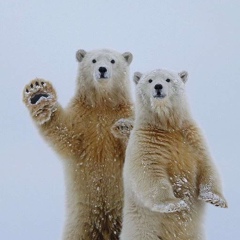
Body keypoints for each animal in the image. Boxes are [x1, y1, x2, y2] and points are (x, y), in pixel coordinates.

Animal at [22, 48, 134, 240]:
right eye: (93, 60)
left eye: (112, 61)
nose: (102, 69)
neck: (103, 105)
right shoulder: (83, 120)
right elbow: (64, 133)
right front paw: (38, 92)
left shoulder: (125, 111)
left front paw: (124, 127)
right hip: (81, 220)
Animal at [121, 69, 228, 240]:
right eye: (150, 80)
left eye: (168, 79)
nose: (158, 87)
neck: (168, 126)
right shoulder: (146, 141)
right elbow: (148, 171)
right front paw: (175, 203)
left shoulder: (192, 136)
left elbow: (206, 163)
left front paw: (215, 199)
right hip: (142, 230)